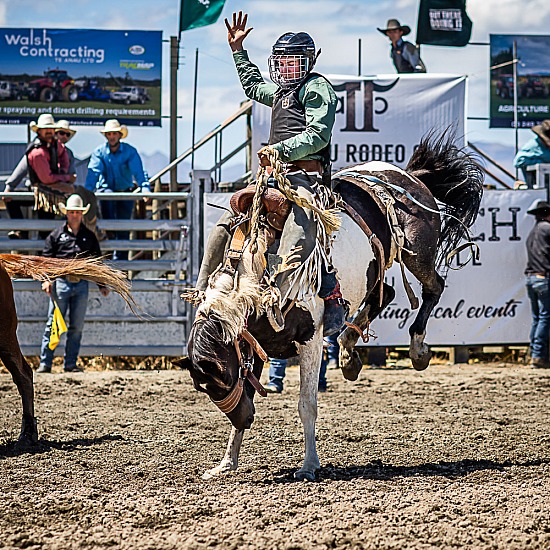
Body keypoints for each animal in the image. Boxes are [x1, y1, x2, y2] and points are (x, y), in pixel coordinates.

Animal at [177, 132, 484, 480]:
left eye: (222, 379)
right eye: (205, 389)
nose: (245, 418)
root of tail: (410, 177)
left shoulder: (309, 340)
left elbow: (306, 404)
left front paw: (309, 465)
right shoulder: (251, 345)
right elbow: (251, 393)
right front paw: (226, 463)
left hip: (418, 254)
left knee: (433, 287)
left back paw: (417, 349)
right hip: (374, 271)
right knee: (385, 295)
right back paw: (349, 354)